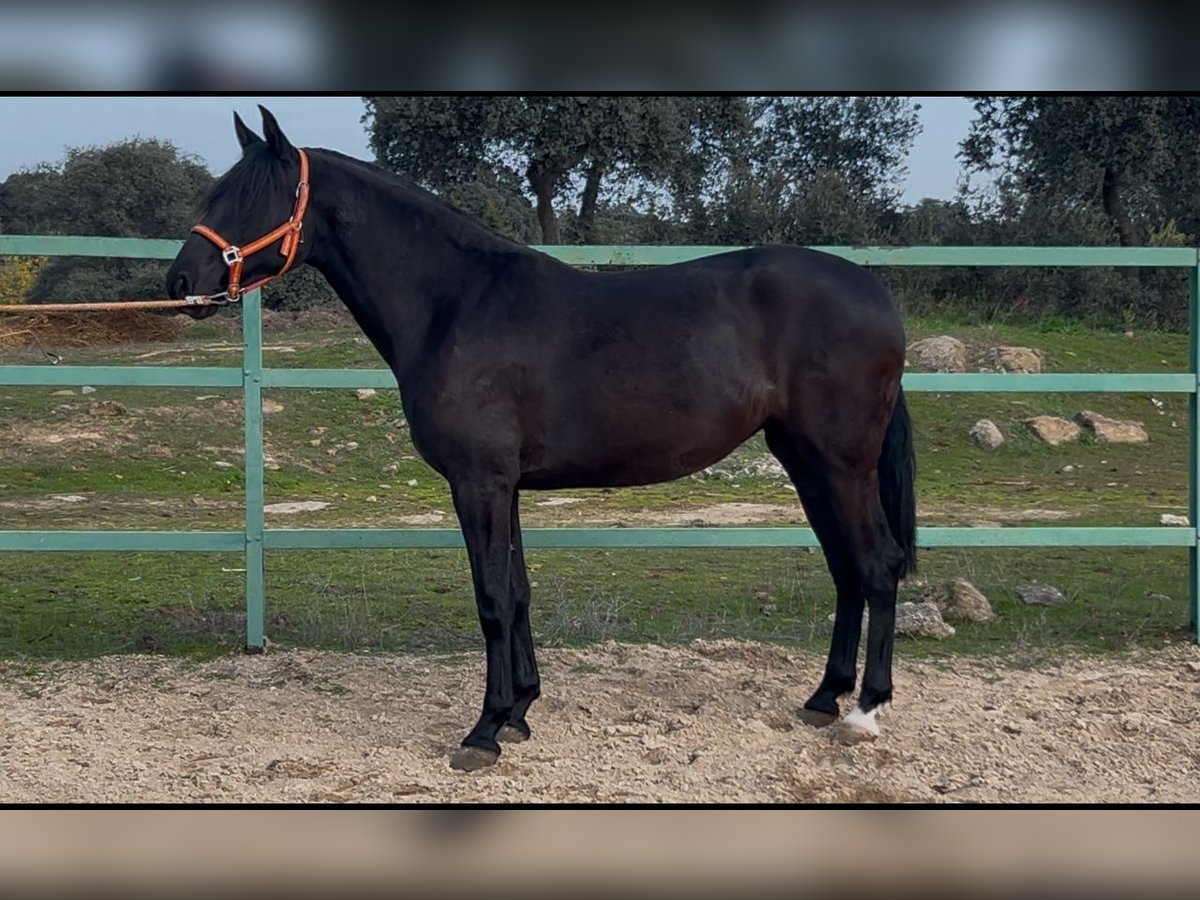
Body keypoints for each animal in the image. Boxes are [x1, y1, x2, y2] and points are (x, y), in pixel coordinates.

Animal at [169, 105, 912, 768]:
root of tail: (875, 293)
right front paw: (520, 711)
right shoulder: (509, 487)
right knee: (846, 570)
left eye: (249, 195)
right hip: (805, 460)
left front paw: (483, 732)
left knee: (876, 565)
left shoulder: (479, 483)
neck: (456, 304)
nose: (180, 281)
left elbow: (493, 599)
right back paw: (823, 698)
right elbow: (520, 592)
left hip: (840, 463)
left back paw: (865, 712)